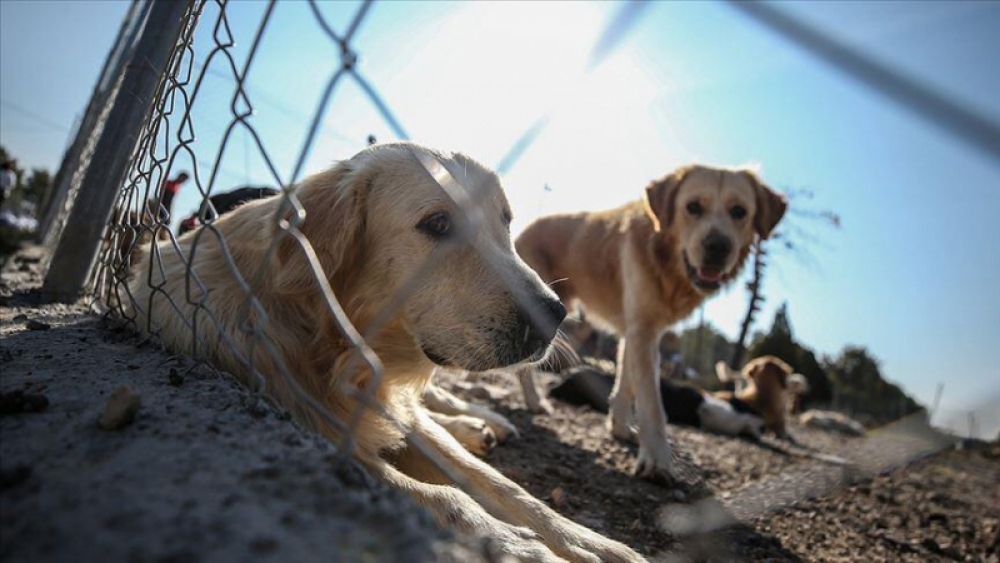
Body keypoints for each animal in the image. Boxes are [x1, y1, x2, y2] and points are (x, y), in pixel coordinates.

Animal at [129, 143, 640, 560]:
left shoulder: (393, 408)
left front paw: (589, 542)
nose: (556, 315)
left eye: (506, 221)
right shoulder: (312, 427)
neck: (336, 342)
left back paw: (482, 422)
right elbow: (444, 497)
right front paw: (516, 545)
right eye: (438, 224)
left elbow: (502, 485)